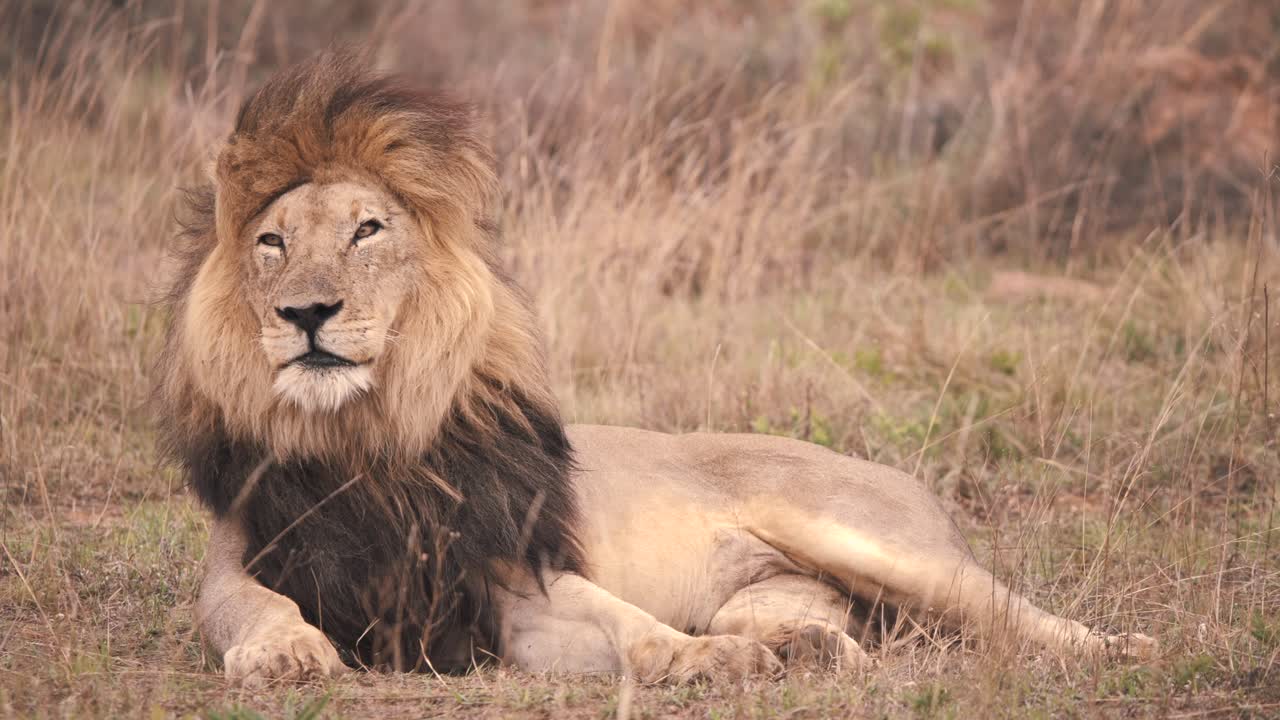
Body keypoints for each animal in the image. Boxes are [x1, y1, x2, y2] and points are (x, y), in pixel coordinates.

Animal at [155, 52, 1156, 687]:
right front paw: (282, 654)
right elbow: (254, 611)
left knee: (1012, 614)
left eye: (367, 229)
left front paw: (704, 664)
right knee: (828, 620)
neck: (362, 436)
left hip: (877, 543)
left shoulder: (516, 576)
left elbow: (625, 621)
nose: (305, 315)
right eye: (273, 243)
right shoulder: (242, 564)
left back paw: (1127, 650)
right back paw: (805, 652)